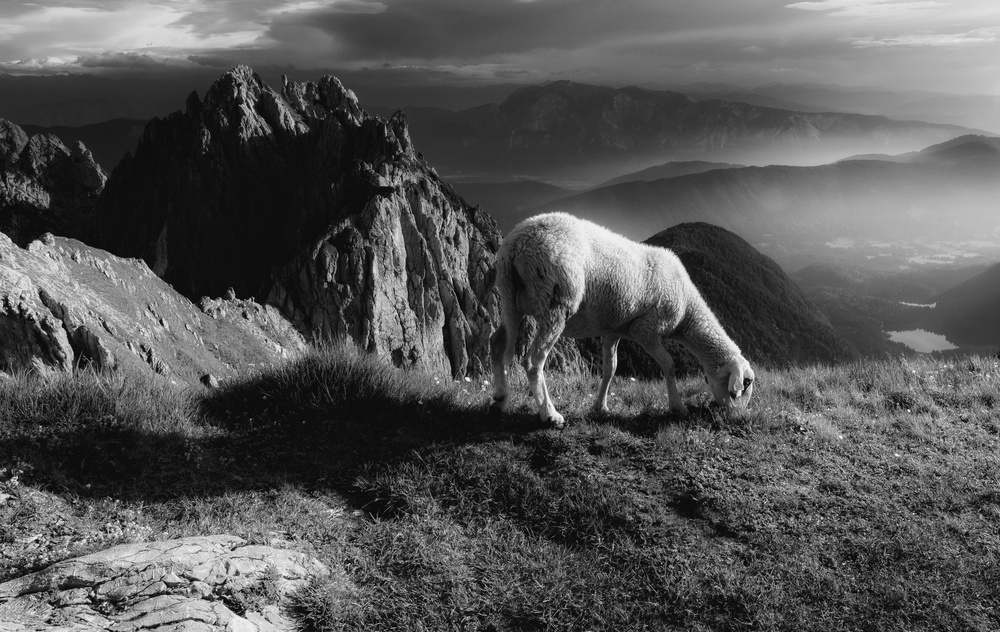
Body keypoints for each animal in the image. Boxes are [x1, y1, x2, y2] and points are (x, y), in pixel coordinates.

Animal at [489, 212, 754, 428]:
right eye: (744, 385)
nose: (738, 417)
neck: (687, 311)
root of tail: (515, 244)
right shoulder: (645, 329)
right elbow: (668, 364)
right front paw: (678, 407)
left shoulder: (613, 329)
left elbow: (611, 369)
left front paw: (601, 407)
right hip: (555, 300)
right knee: (533, 361)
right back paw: (550, 414)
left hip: (513, 300)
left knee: (497, 342)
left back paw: (500, 399)